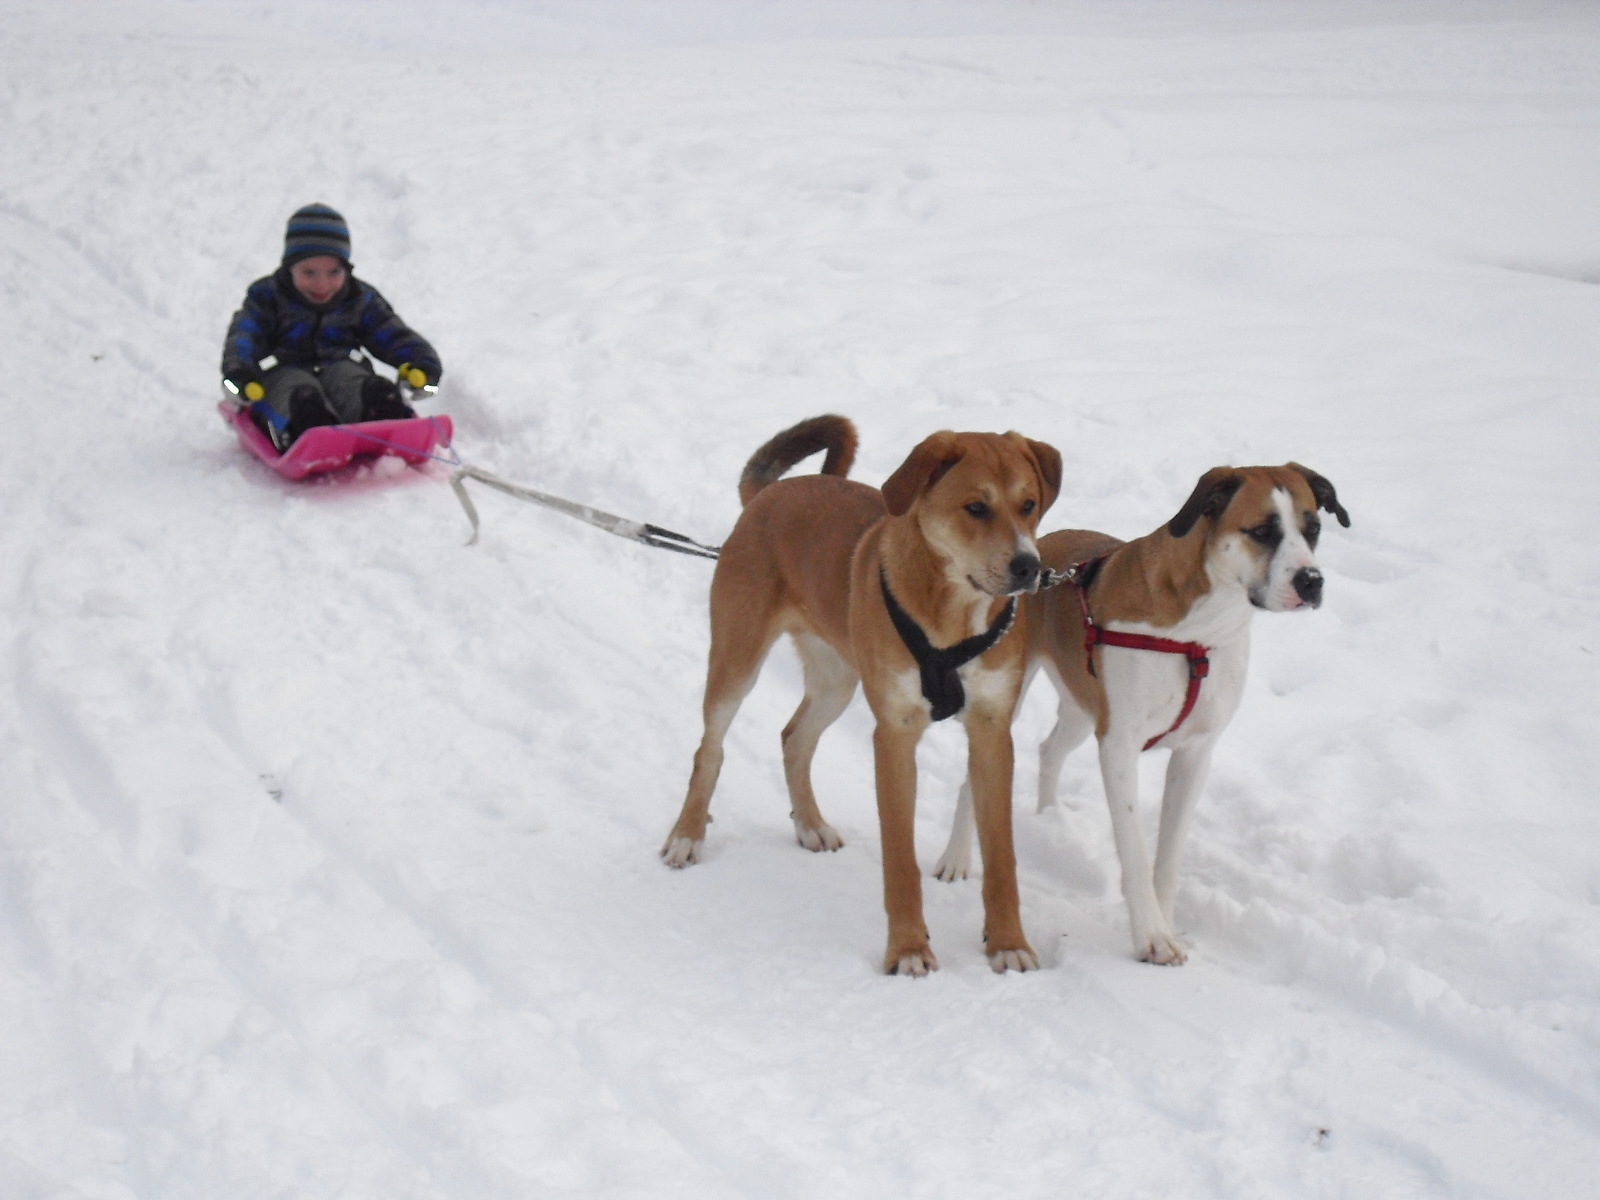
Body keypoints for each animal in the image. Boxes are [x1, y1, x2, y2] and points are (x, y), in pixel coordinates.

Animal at [662, 412, 1062, 979]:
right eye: (976, 508)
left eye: (1029, 504)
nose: (1028, 567)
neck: (953, 613)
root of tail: (770, 493)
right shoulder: (894, 734)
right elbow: (900, 860)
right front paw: (908, 948)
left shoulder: (991, 730)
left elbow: (1002, 857)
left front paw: (1007, 942)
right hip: (736, 660)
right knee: (710, 750)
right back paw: (687, 834)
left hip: (836, 679)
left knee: (794, 738)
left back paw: (810, 825)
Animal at [934, 464, 1350, 966]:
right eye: (1262, 531)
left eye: (1314, 528)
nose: (1311, 581)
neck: (1197, 634)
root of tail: (1039, 556)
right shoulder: (1119, 746)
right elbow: (1133, 850)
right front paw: (1152, 936)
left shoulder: (1195, 752)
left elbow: (1167, 858)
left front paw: (1166, 922)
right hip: (1007, 701)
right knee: (973, 778)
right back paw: (956, 858)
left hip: (1082, 705)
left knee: (1051, 748)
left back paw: (1050, 818)